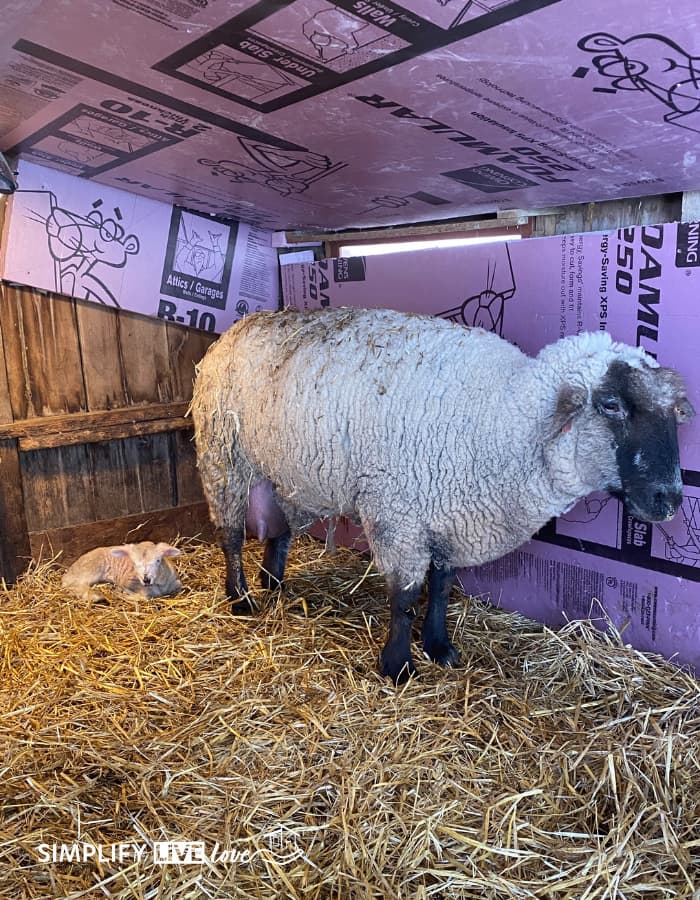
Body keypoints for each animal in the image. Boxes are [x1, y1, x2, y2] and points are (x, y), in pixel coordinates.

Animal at [190, 307, 694, 684]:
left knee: (279, 532)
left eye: (673, 413)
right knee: (230, 535)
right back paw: (241, 598)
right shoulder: (398, 515)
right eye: (611, 405)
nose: (669, 499)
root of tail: (240, 324)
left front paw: (438, 646)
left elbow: (442, 586)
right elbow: (405, 597)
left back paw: (273, 583)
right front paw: (397, 666)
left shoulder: (450, 512)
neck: (503, 419)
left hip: (284, 472)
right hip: (223, 457)